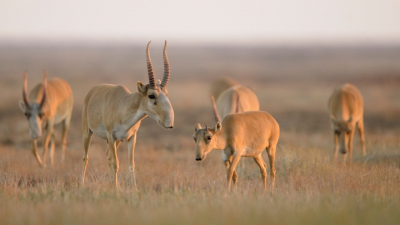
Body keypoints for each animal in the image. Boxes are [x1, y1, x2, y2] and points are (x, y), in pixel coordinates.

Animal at [81, 40, 173, 188]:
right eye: (151, 95)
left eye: (166, 94)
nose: (169, 123)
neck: (124, 105)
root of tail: (93, 91)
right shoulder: (111, 135)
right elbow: (115, 163)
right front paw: (116, 189)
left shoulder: (131, 138)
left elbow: (131, 164)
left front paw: (133, 189)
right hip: (88, 133)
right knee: (85, 157)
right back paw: (82, 184)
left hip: (117, 141)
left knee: (107, 155)